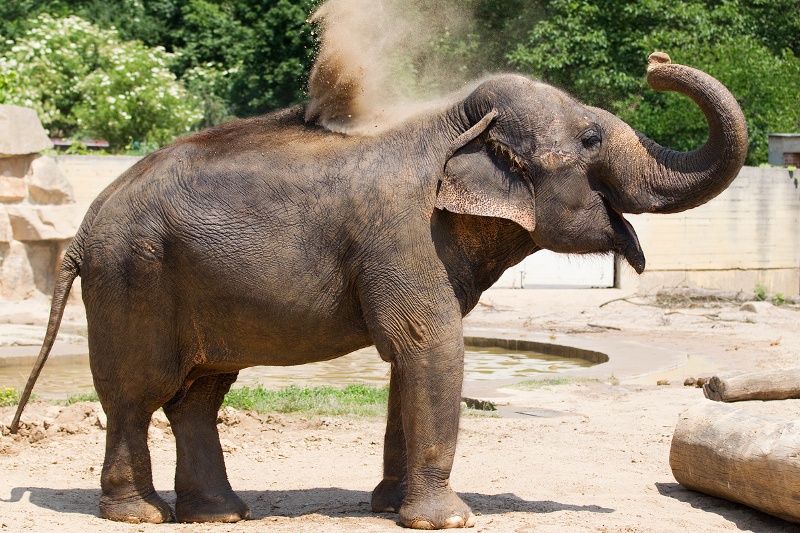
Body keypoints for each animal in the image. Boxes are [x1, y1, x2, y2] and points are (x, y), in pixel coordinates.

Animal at [12, 53, 748, 528]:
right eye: (592, 138)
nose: (656, 61)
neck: (452, 124)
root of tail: (82, 230)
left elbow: (409, 359)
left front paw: (388, 507)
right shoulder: (401, 233)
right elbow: (432, 345)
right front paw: (448, 521)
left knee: (197, 396)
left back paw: (219, 514)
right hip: (132, 278)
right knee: (136, 396)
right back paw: (139, 514)